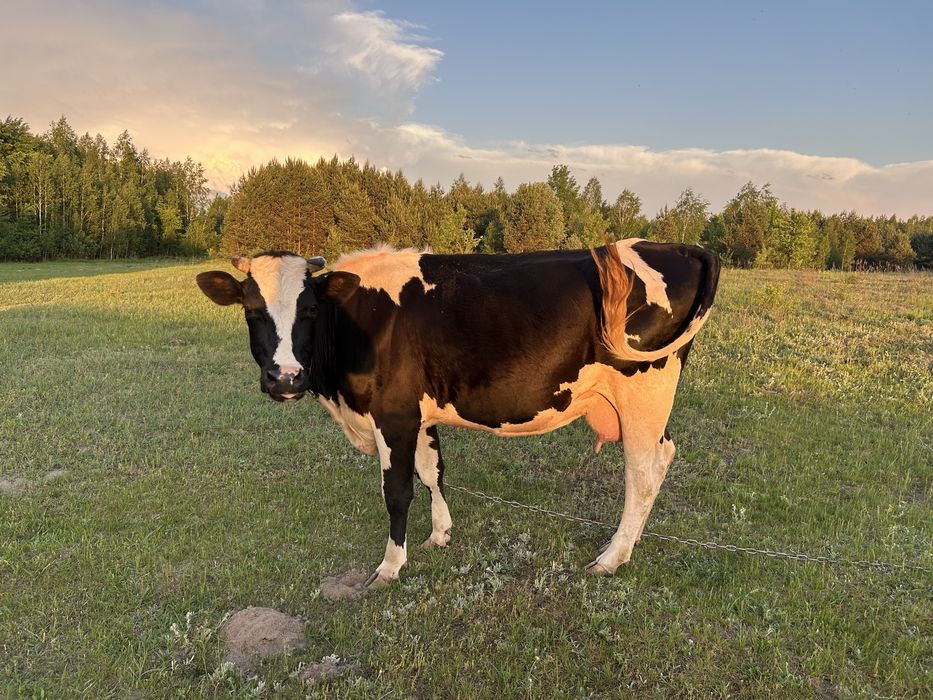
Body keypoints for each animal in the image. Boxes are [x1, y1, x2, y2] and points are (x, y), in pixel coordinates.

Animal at [196, 240, 720, 587]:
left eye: (308, 310)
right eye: (251, 310)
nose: (284, 378)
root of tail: (674, 245)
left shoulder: (394, 415)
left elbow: (397, 492)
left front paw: (390, 566)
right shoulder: (419, 416)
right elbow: (433, 472)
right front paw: (440, 534)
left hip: (644, 392)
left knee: (642, 472)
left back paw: (613, 555)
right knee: (661, 459)